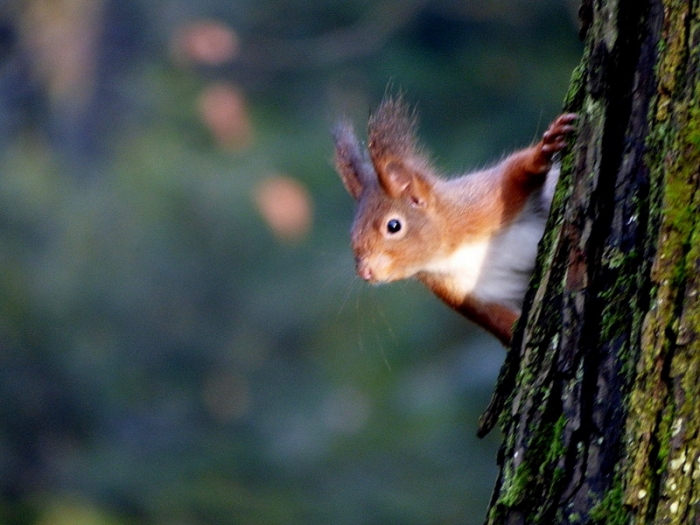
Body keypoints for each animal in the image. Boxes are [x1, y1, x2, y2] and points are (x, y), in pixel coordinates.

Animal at [333, 96, 576, 346]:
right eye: (352, 232)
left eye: (393, 226)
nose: (365, 272)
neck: (451, 253)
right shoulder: (466, 294)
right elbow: (501, 322)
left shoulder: (487, 199)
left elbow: (518, 170)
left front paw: (544, 149)